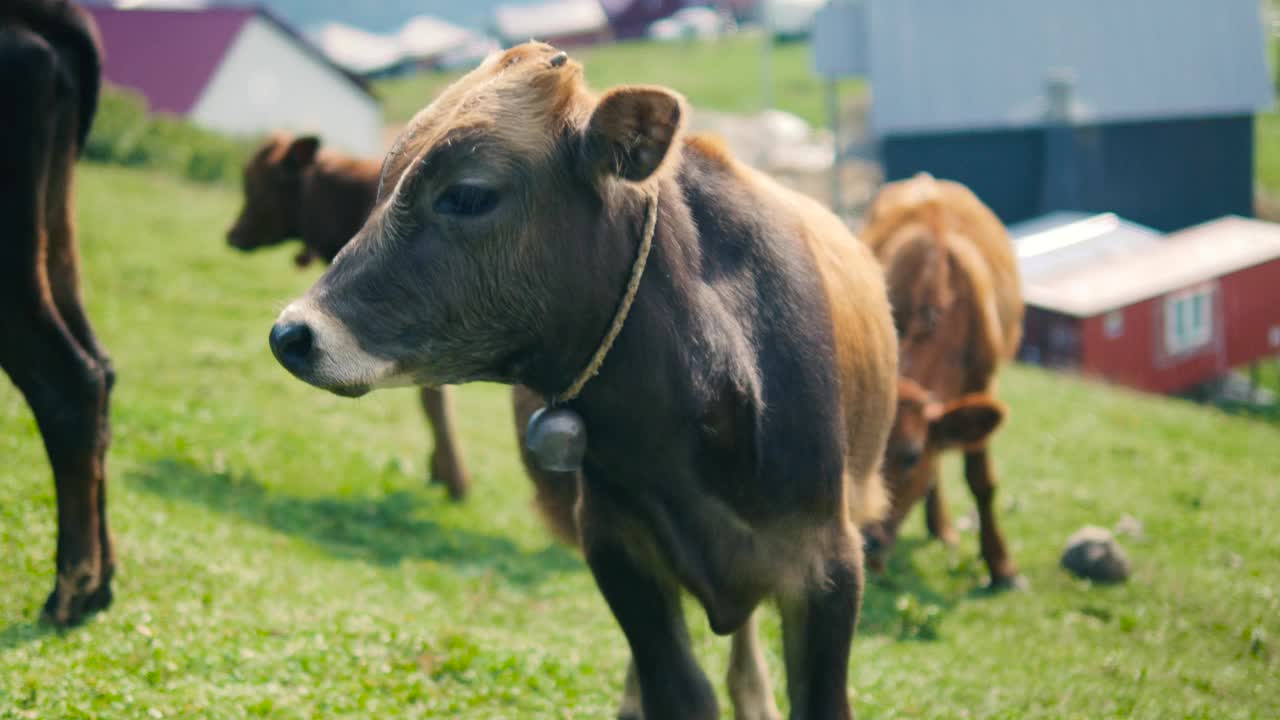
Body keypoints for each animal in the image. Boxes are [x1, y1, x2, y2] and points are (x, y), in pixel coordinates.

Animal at [267, 41, 901, 712]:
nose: (292, 334)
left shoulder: (829, 566)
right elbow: (677, 690)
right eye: (383, 182)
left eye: (467, 195)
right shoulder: (617, 552)